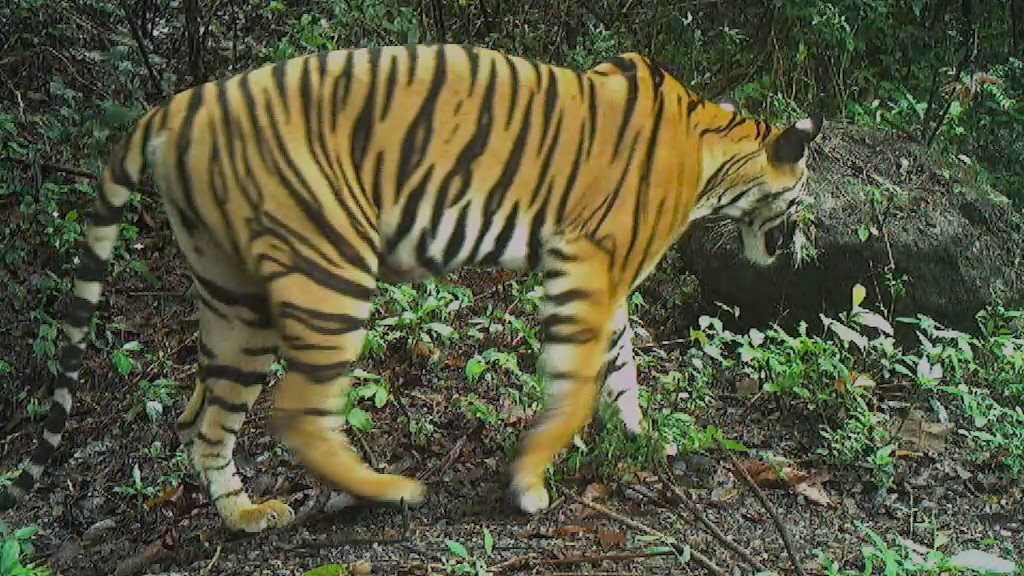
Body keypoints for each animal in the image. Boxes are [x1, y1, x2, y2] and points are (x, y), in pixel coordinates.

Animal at [0, 43, 819, 528]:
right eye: (800, 198)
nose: (799, 246)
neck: (714, 155)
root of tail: (184, 102)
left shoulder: (606, 281)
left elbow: (620, 368)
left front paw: (640, 436)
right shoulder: (585, 267)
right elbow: (576, 384)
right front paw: (529, 482)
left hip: (233, 298)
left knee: (202, 414)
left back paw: (246, 515)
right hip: (328, 275)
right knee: (294, 411)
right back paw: (391, 491)